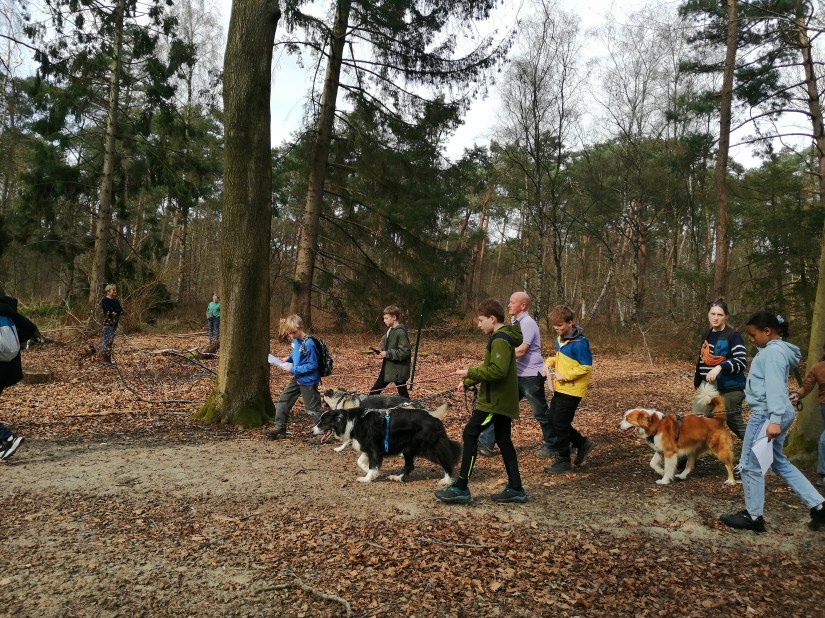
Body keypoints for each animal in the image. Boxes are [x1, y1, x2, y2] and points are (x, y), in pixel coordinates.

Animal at [312, 405, 461, 485]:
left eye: (323, 422)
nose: (311, 431)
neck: (351, 421)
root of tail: (436, 421)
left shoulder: (374, 448)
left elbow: (372, 464)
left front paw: (367, 478)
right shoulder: (368, 447)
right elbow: (360, 461)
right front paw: (370, 472)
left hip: (428, 446)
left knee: (446, 459)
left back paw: (446, 480)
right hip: (408, 448)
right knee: (409, 465)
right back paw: (397, 477)